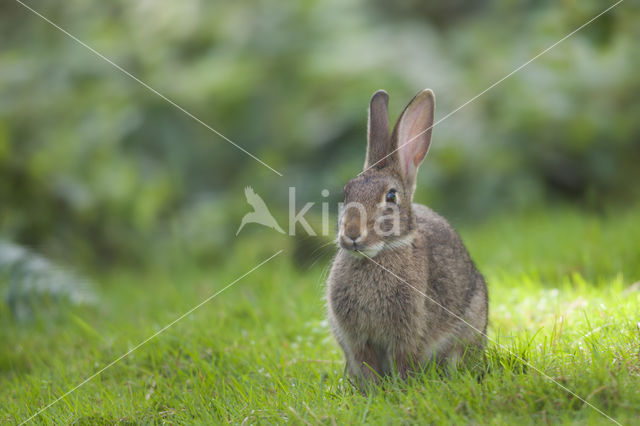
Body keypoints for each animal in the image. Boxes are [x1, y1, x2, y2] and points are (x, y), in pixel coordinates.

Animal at [328, 89, 488, 390]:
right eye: (346, 193)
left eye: (391, 196)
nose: (352, 234)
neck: (379, 255)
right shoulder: (358, 340)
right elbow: (367, 366)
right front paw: (372, 392)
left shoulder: (407, 335)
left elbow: (404, 363)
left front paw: (401, 389)